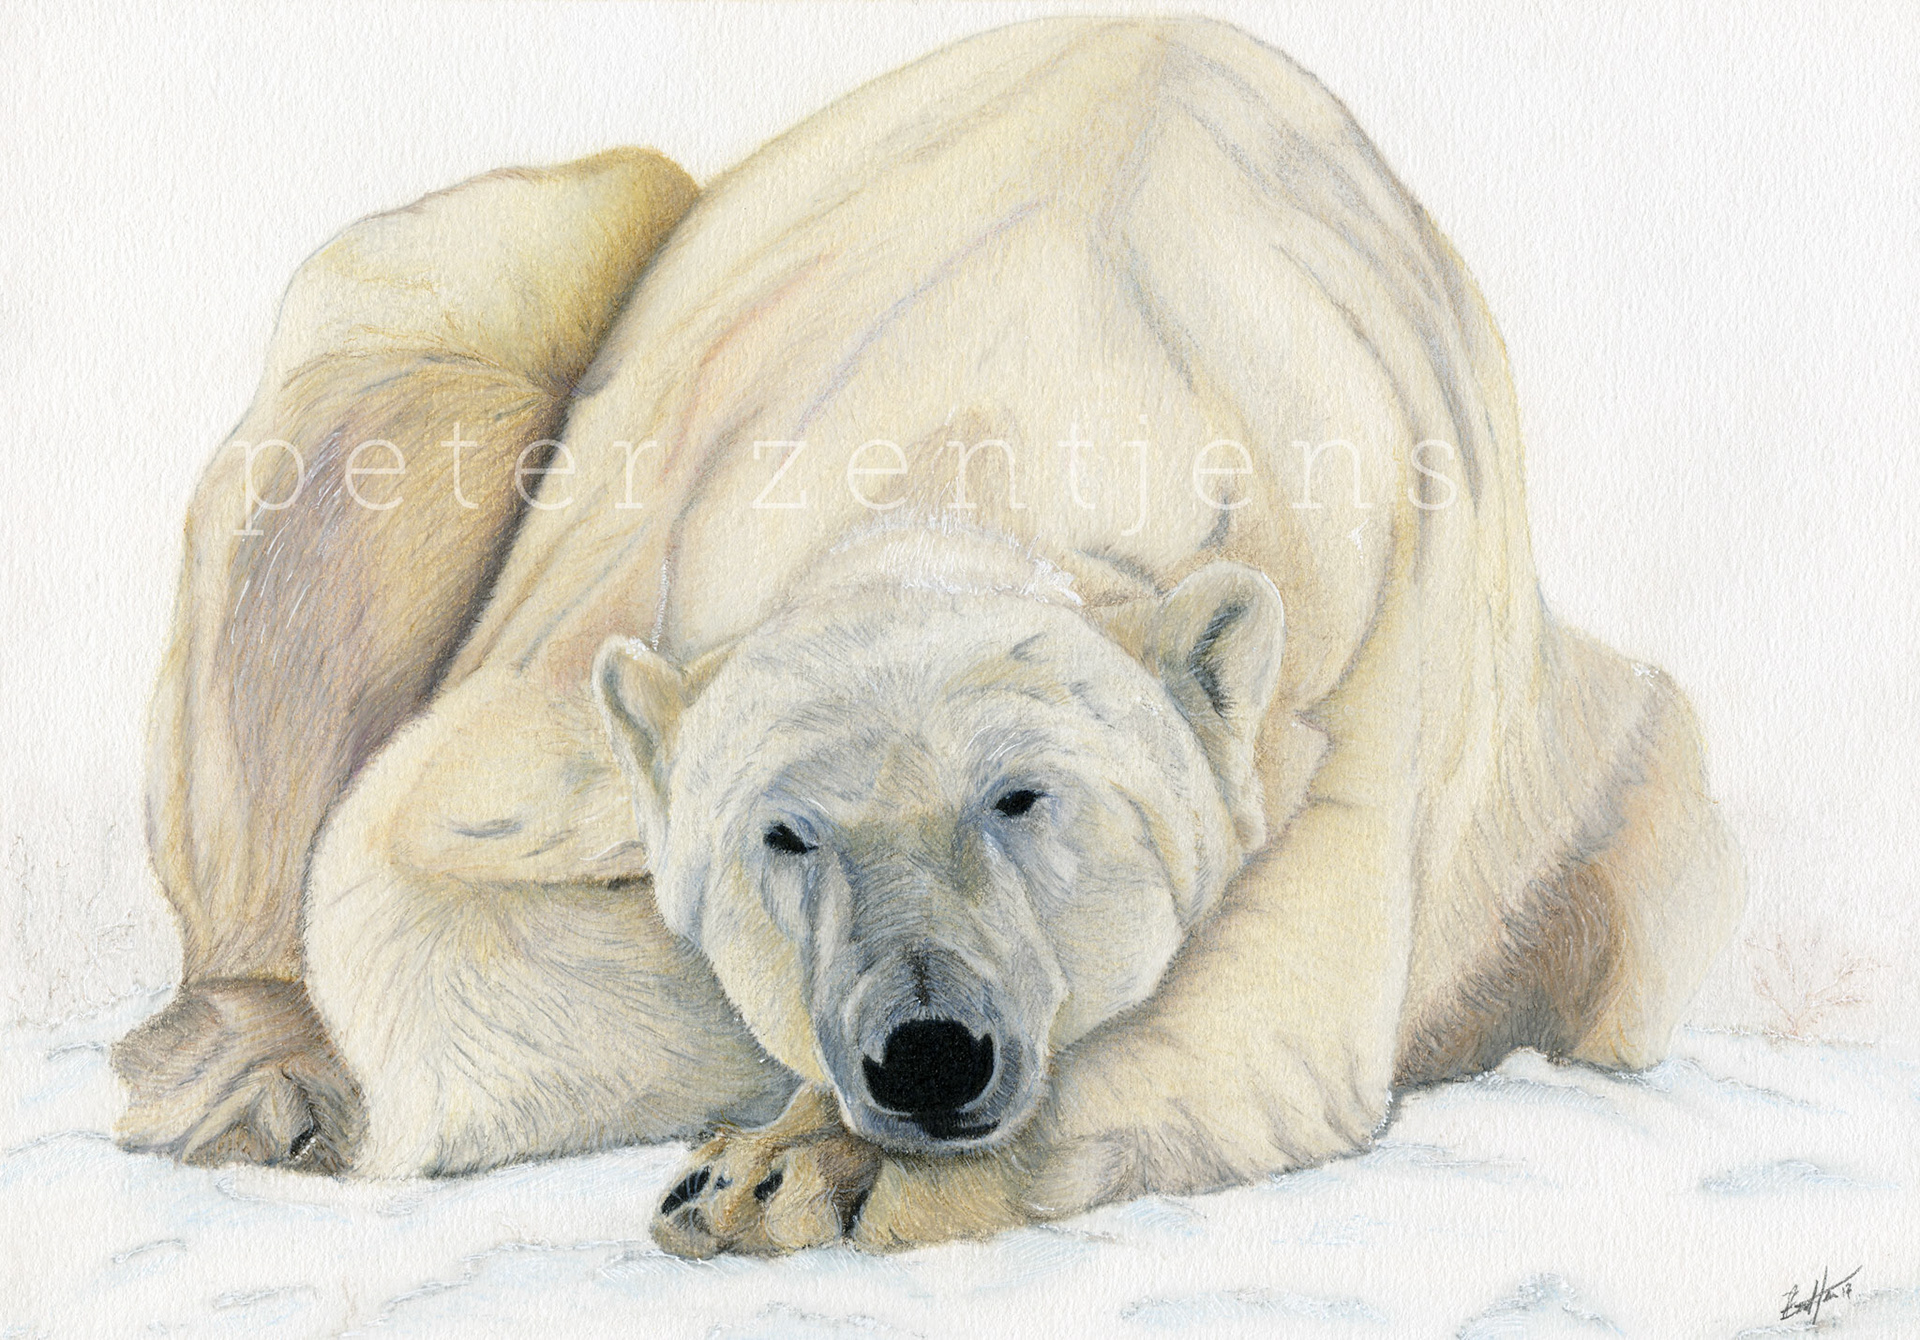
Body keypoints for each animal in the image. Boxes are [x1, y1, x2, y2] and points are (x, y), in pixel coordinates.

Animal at [112, 16, 1743, 1256]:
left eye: (1025, 797)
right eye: (784, 832)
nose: (932, 1051)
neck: (1038, 385)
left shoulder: (1354, 610)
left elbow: (1266, 1012)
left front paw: (796, 1169)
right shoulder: (616, 611)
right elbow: (409, 888)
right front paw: (767, 1139)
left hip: (1605, 781)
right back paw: (249, 1073)